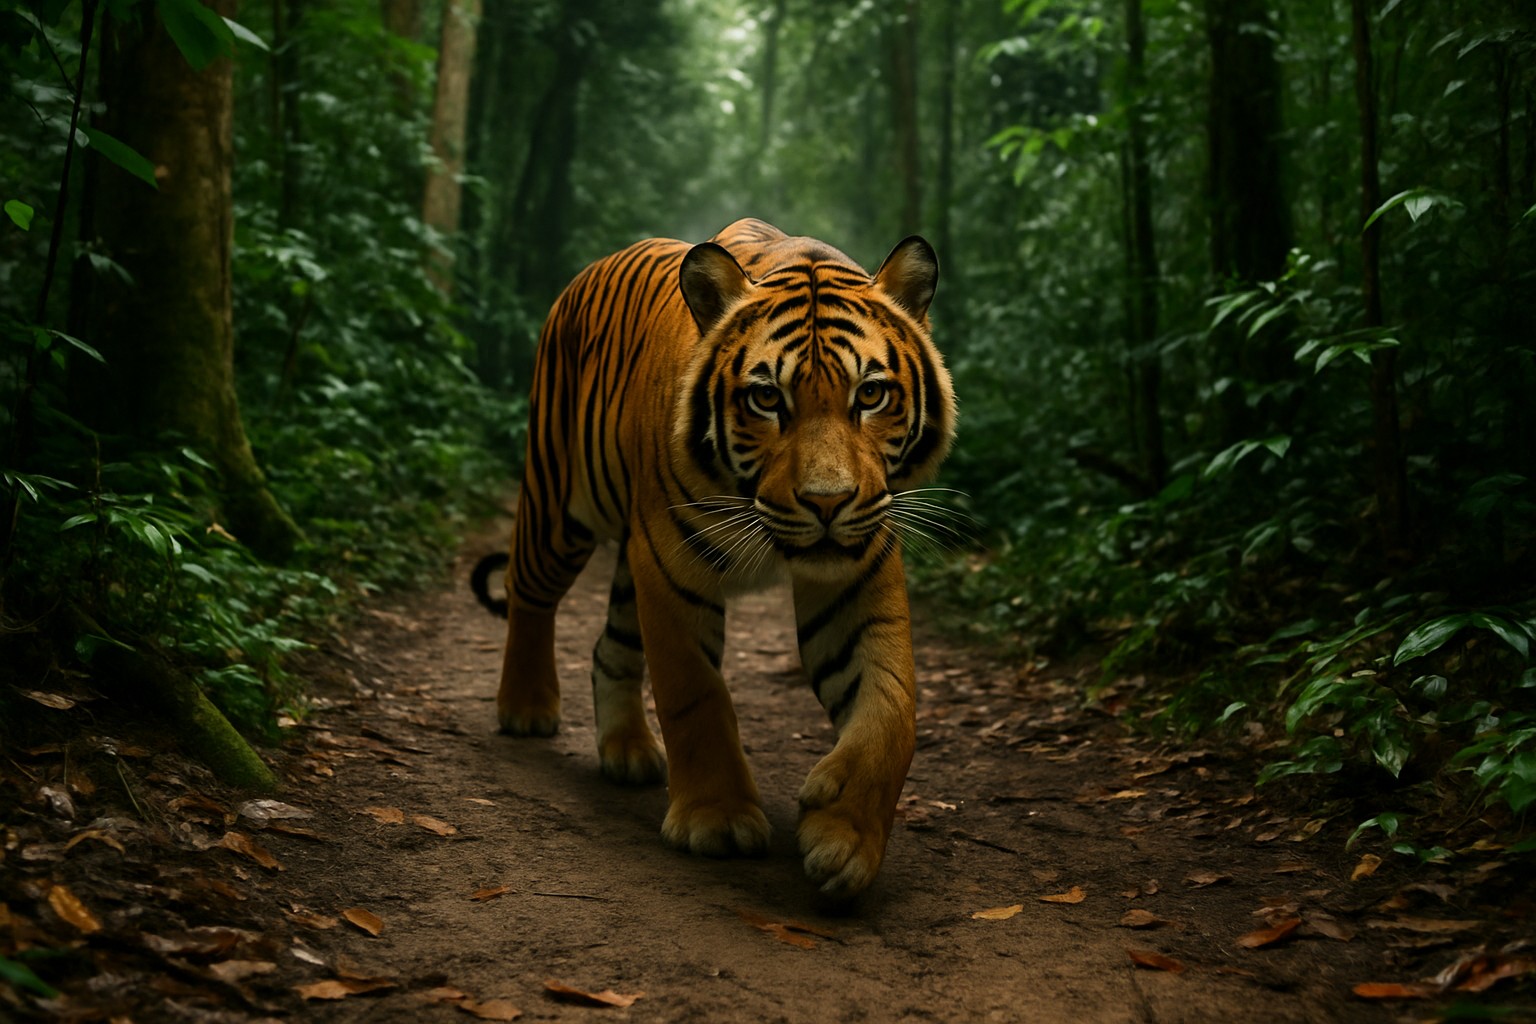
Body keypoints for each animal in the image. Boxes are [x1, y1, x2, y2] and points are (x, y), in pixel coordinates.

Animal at [486, 218, 955, 897]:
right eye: (766, 400)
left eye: (870, 394)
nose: (827, 502)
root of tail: (585, 272)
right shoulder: (672, 567)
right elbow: (695, 694)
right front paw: (718, 819)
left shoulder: (856, 577)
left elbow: (891, 710)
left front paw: (844, 837)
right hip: (561, 504)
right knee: (528, 591)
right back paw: (525, 708)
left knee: (609, 647)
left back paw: (627, 749)